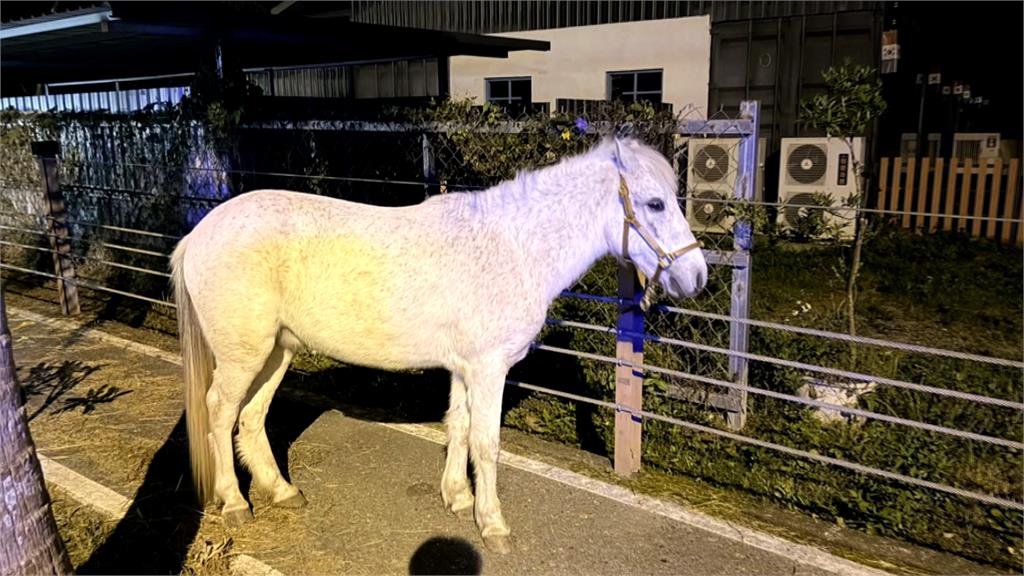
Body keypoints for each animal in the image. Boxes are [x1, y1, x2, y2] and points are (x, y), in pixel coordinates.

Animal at [169, 136, 708, 554]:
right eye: (655, 204)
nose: (697, 277)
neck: (514, 247)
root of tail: (198, 234)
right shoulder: (489, 369)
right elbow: (487, 443)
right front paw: (493, 525)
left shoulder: (466, 369)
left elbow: (459, 427)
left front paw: (458, 498)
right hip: (243, 355)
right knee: (220, 411)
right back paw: (235, 503)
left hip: (277, 351)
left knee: (251, 417)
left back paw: (281, 491)